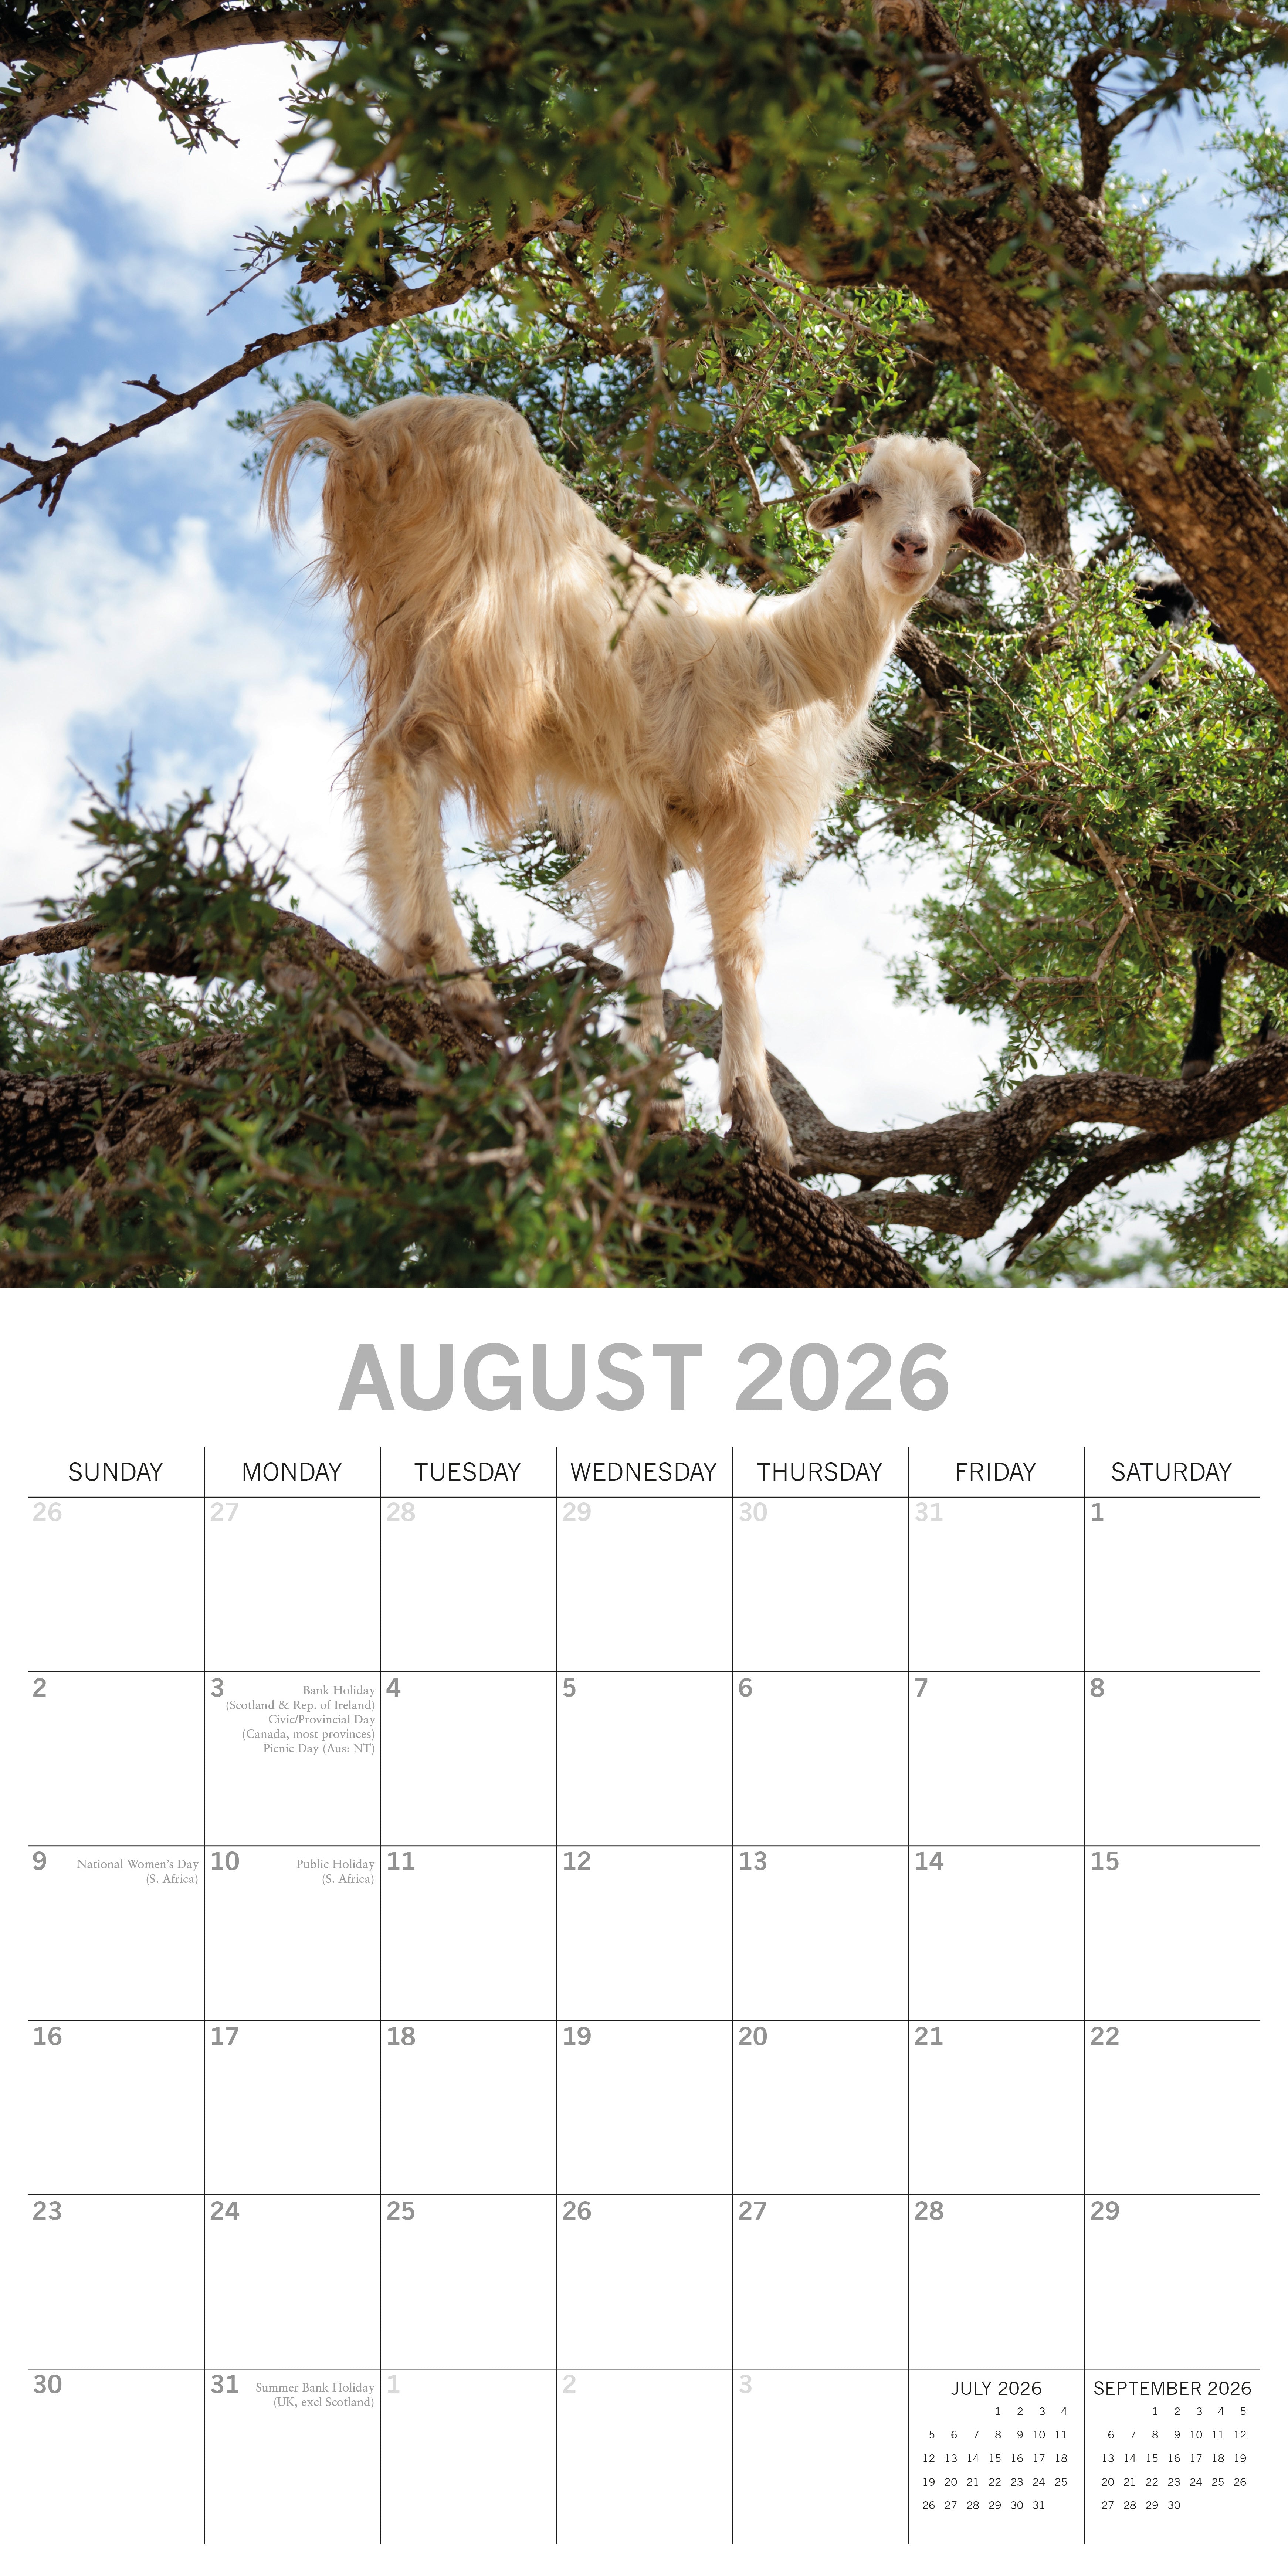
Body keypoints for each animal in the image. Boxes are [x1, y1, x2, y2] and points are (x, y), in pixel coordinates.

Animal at [263, 395, 1023, 1166]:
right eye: (868, 493)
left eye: (959, 511)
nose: (908, 548)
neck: (788, 659)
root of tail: (369, 436)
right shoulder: (732, 805)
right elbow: (738, 953)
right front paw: (758, 1117)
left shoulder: (640, 802)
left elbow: (648, 935)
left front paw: (654, 1097)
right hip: (487, 648)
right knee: (406, 756)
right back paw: (451, 968)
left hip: (401, 634)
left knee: (377, 766)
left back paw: (400, 959)